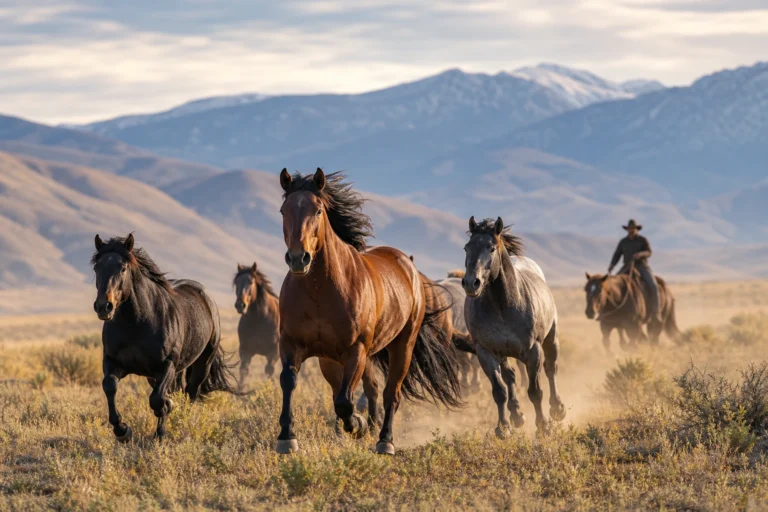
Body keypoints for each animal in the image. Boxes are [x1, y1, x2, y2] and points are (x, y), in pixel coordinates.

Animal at [92, 234, 238, 441]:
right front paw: (123, 431)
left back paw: (181, 425)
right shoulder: (113, 362)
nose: (104, 307)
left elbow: (158, 400)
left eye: (123, 268)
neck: (136, 324)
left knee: (190, 393)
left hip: (202, 364)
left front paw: (161, 429)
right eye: (97, 268)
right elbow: (109, 386)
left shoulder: (166, 365)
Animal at [276, 168, 463, 455]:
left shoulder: (356, 350)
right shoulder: (292, 343)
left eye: (318, 210)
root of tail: (407, 264)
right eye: (283, 210)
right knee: (370, 389)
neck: (320, 290)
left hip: (401, 346)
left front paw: (357, 424)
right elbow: (290, 382)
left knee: (390, 393)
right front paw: (287, 438)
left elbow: (345, 401)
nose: (299, 259)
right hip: (336, 358)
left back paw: (384, 440)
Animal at [462, 217, 566, 436]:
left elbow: (535, 391)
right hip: (504, 354)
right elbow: (499, 391)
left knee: (551, 368)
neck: (503, 305)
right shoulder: (486, 353)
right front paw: (503, 428)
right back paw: (516, 415)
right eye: (467, 247)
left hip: (551, 339)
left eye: (491, 248)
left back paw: (557, 409)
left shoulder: (533, 351)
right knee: (509, 377)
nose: (471, 283)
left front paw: (543, 426)